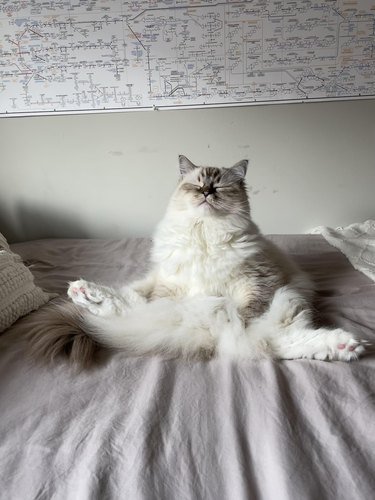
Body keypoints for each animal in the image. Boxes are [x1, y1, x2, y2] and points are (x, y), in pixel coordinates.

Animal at [26, 154, 368, 366]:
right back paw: (83, 292)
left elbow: (248, 317)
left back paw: (345, 346)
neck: (204, 232)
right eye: (197, 184)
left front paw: (241, 324)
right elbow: (152, 307)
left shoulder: (256, 282)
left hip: (286, 299)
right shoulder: (172, 288)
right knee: (130, 308)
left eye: (219, 186)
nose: (206, 192)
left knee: (273, 340)